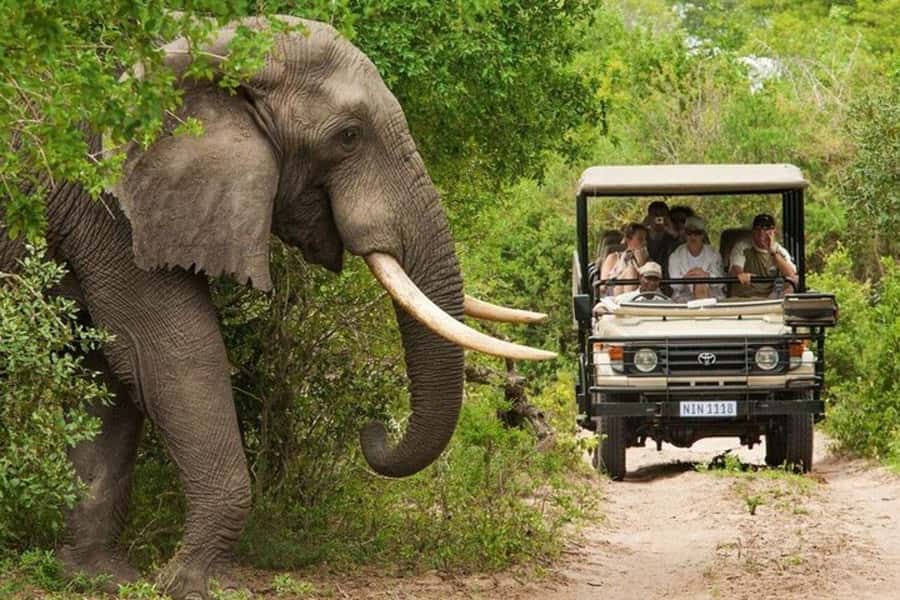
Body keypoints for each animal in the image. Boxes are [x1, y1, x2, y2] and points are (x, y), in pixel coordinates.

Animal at [0, 15, 554, 600]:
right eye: (348, 137)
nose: (373, 432)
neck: (210, 45)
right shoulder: (106, 198)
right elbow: (170, 352)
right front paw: (192, 584)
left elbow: (112, 371)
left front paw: (99, 577)